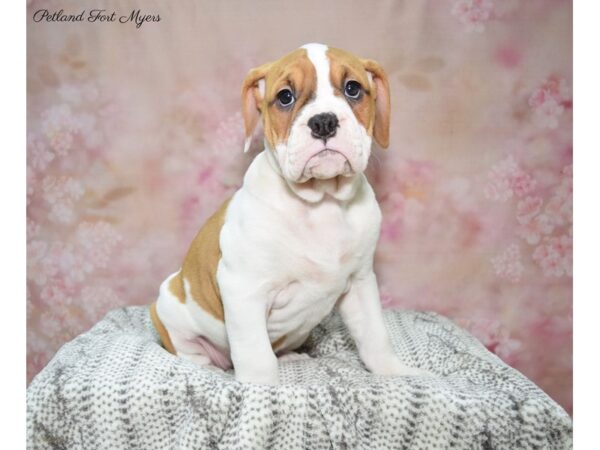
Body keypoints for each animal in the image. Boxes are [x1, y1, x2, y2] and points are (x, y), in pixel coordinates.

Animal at [152, 44, 428, 384]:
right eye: (285, 96)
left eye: (352, 89)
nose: (323, 122)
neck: (323, 203)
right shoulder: (243, 289)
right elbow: (257, 356)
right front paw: (261, 388)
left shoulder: (361, 283)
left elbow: (375, 336)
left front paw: (394, 372)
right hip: (169, 307)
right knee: (190, 351)